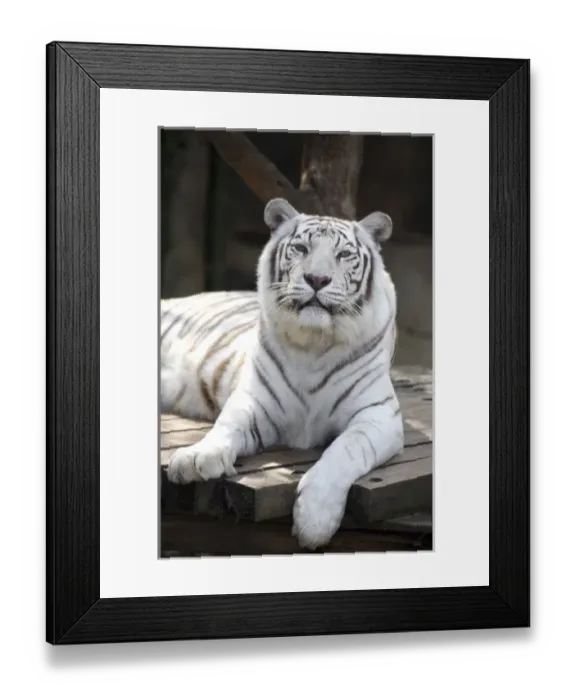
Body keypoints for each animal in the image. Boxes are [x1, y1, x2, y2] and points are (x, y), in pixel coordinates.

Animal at [161, 197, 404, 550]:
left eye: (343, 255)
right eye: (301, 248)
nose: (317, 279)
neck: (315, 344)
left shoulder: (378, 416)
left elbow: (344, 451)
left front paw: (315, 520)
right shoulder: (256, 401)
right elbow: (227, 425)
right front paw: (196, 458)